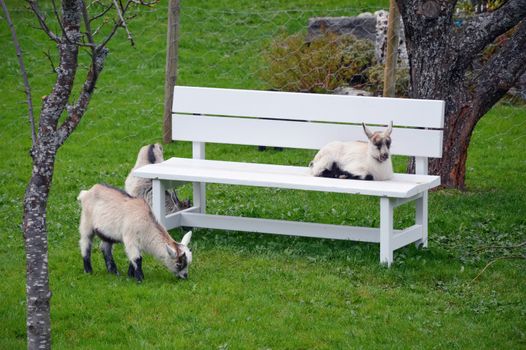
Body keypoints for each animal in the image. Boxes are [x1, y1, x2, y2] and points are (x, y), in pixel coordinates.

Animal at [133, 87, 446, 266]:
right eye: (374, 142)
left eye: (390, 142)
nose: (382, 156)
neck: (379, 170)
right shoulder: (358, 170)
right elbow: (355, 177)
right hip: (326, 160)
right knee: (326, 171)